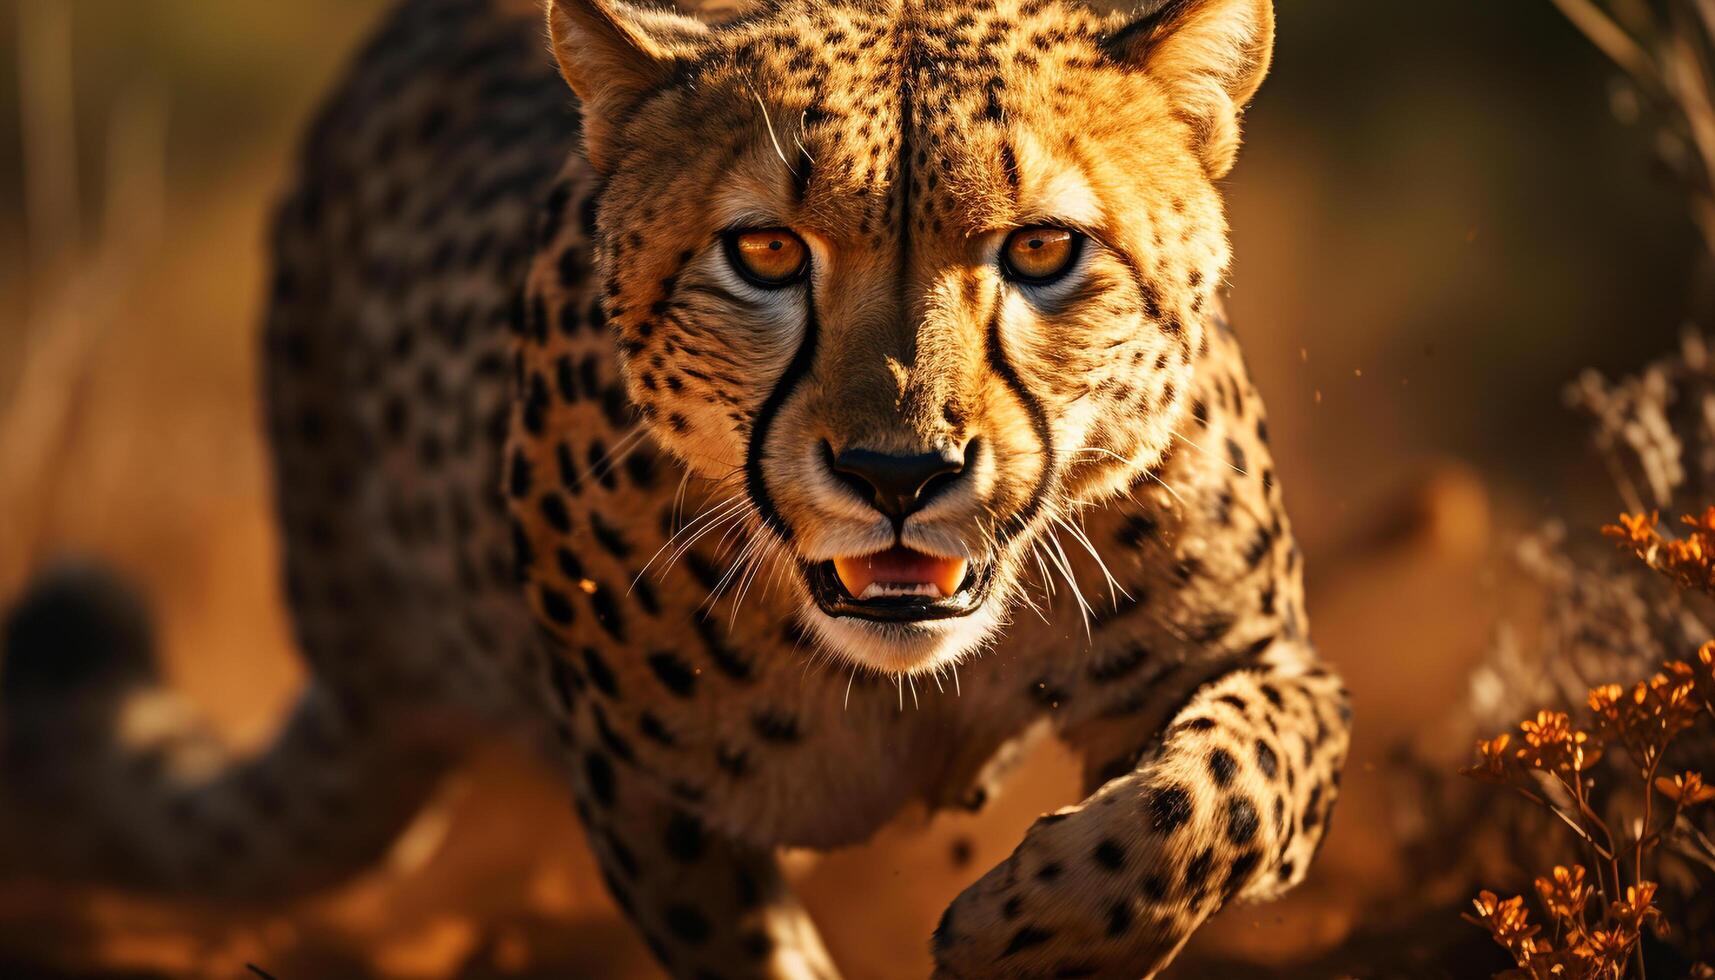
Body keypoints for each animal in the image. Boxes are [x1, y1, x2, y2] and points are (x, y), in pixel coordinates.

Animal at [3, 0, 1351, 974]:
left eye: (1039, 248)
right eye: (762, 251)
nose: (898, 472)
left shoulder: (1254, 654)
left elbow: (1216, 791)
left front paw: (1032, 933)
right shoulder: (643, 793)